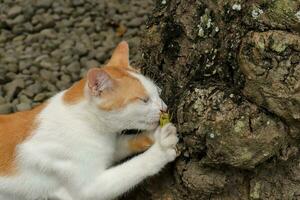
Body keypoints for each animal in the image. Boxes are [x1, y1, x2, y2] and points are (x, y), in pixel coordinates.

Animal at [0, 41, 178, 200]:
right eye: (144, 100)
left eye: (158, 92)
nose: (164, 108)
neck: (86, 121)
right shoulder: (88, 188)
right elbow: (131, 168)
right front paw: (161, 148)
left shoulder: (108, 147)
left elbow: (122, 144)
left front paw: (154, 134)